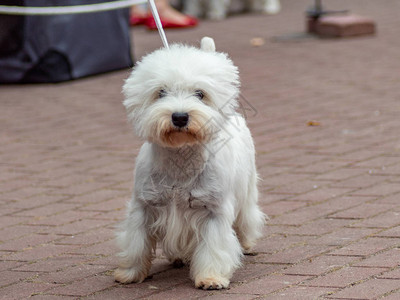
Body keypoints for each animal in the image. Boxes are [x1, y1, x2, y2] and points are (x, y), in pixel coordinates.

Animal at [115, 36, 266, 290]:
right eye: (161, 92)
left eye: (200, 94)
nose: (179, 117)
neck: (180, 159)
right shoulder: (144, 206)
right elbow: (137, 243)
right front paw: (129, 273)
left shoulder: (213, 211)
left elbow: (214, 247)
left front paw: (211, 278)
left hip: (247, 190)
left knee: (246, 218)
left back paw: (247, 244)